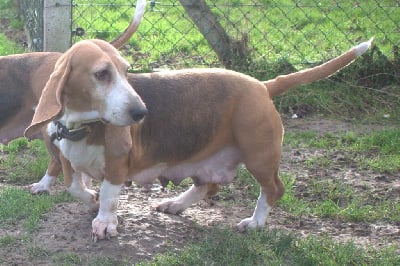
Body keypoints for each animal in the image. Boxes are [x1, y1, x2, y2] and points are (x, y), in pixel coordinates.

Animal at [21, 37, 372, 241]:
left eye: (125, 71)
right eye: (101, 74)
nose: (140, 112)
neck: (84, 124)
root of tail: (262, 86)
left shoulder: (118, 166)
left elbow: (108, 196)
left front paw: (104, 221)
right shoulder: (69, 161)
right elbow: (75, 186)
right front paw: (90, 200)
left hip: (260, 157)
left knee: (273, 189)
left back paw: (255, 223)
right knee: (208, 186)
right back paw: (176, 204)